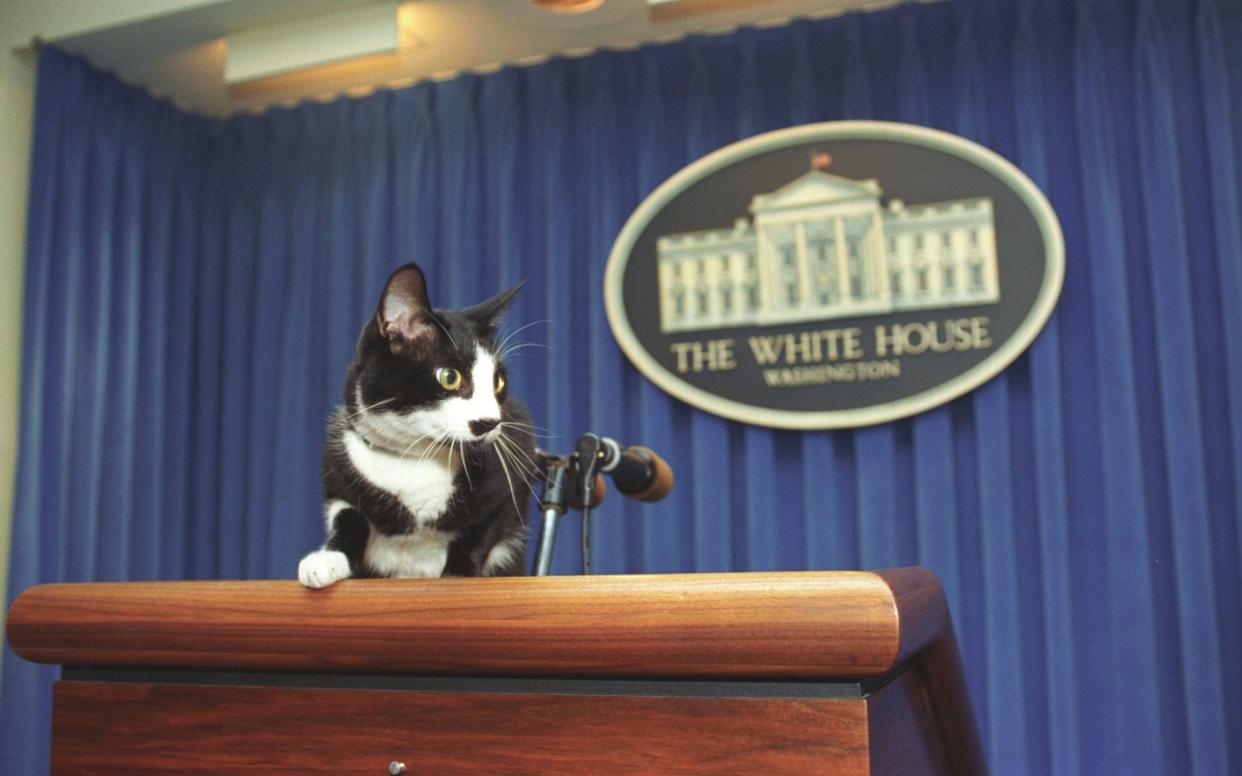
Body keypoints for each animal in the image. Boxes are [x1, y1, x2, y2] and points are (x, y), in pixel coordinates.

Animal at [300, 261, 539, 586]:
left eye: (498, 383)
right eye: (449, 377)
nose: (490, 422)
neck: (414, 457)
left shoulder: (512, 465)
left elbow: (480, 530)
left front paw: (456, 574)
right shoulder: (338, 468)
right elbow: (347, 516)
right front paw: (326, 560)